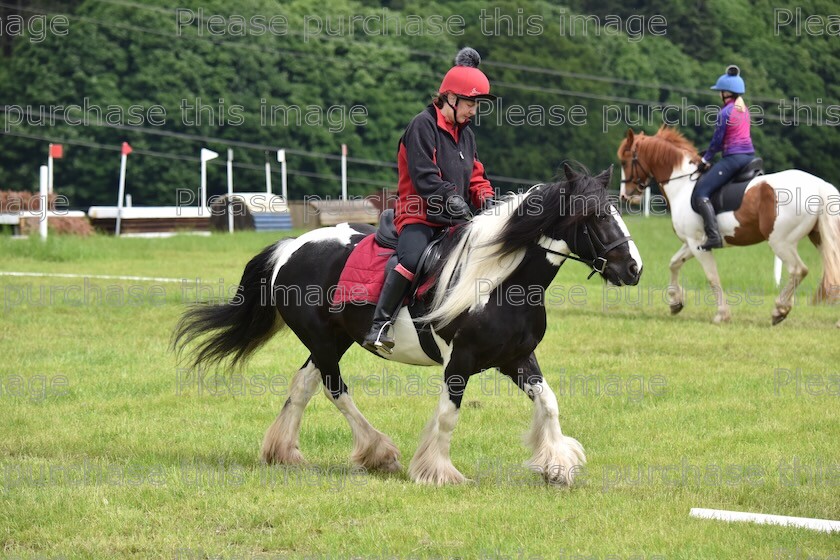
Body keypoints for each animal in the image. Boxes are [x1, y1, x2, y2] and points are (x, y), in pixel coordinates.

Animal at [174, 165, 640, 486]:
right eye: (594, 214)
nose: (633, 268)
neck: (500, 282)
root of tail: (291, 247)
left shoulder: (518, 358)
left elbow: (549, 402)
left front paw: (558, 465)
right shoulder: (460, 362)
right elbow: (448, 416)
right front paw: (438, 472)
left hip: (333, 340)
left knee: (304, 385)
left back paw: (284, 451)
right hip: (323, 341)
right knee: (334, 389)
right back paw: (378, 452)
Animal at [616, 126, 840, 324]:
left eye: (625, 161)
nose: (625, 196)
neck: (682, 185)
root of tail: (819, 185)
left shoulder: (697, 244)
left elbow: (712, 276)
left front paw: (721, 314)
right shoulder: (692, 243)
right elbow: (674, 263)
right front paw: (675, 302)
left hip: (781, 241)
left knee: (798, 270)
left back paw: (780, 310)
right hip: (818, 238)